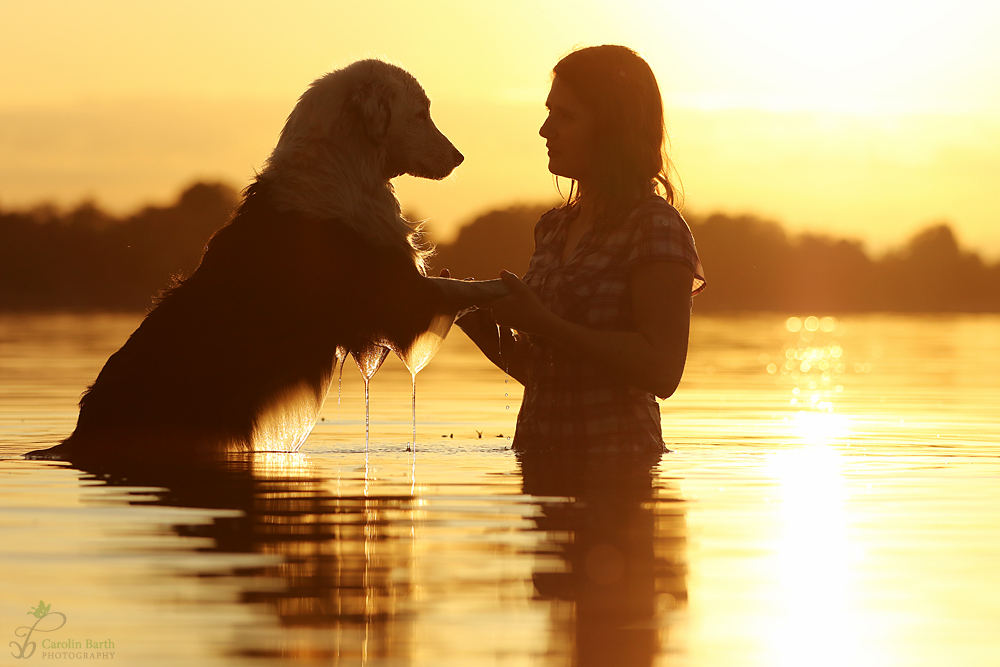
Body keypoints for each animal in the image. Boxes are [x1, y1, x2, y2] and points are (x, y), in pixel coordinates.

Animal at [27, 60, 504, 462]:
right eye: (421, 113)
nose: (459, 157)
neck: (344, 168)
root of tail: (77, 437)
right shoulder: (398, 296)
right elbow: (462, 286)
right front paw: (507, 288)